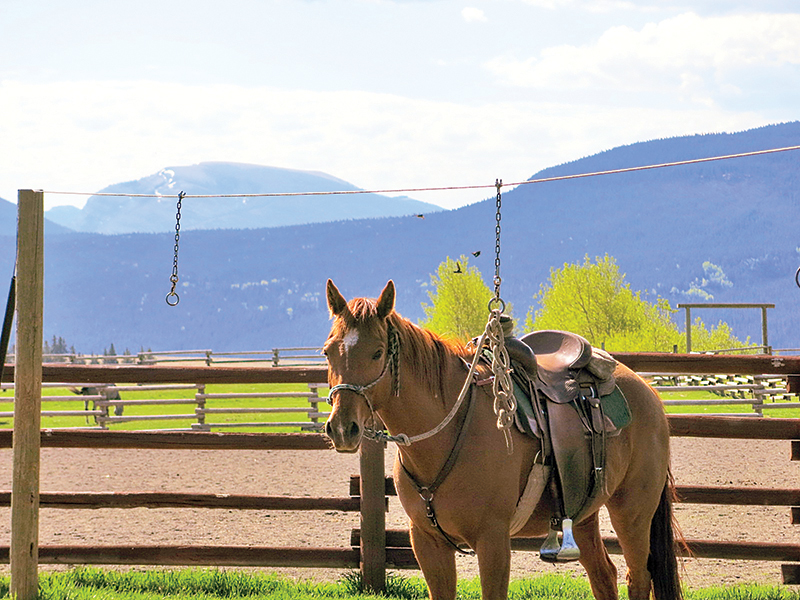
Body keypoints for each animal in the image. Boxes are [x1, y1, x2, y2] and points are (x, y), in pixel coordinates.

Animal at [323, 279, 682, 600]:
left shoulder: (493, 540)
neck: (448, 435)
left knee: (638, 578)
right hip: (583, 514)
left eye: (377, 352)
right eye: (328, 352)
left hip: (632, 512)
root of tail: (647, 390)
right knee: (604, 576)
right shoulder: (426, 541)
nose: (342, 428)